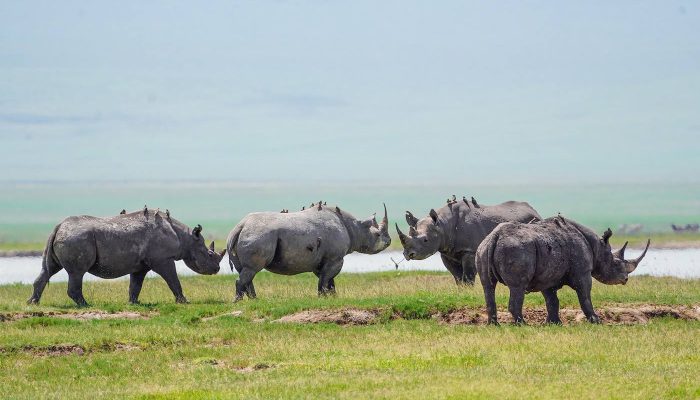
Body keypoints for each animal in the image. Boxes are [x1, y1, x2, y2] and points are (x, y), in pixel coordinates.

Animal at [27, 207, 225, 307]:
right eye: (209, 254)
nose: (216, 269)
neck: (186, 238)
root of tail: (59, 226)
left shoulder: (141, 265)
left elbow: (135, 285)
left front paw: (134, 303)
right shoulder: (163, 259)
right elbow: (173, 280)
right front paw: (184, 302)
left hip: (65, 237)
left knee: (49, 269)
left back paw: (32, 303)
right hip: (76, 238)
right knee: (77, 273)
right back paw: (86, 305)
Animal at [226, 202, 391, 300]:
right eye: (377, 235)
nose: (389, 241)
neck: (355, 227)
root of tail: (240, 226)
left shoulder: (321, 260)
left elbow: (328, 280)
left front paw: (332, 297)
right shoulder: (335, 258)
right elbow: (325, 279)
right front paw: (323, 297)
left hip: (241, 236)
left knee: (246, 272)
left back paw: (255, 300)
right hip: (259, 236)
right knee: (251, 269)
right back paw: (239, 301)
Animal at [395, 197, 541, 285]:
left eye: (425, 240)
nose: (408, 254)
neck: (443, 225)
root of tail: (534, 210)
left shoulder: (470, 250)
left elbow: (468, 276)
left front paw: (468, 290)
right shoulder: (447, 252)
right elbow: (457, 277)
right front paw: (461, 291)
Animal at [476, 216, 650, 324]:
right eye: (616, 264)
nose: (625, 279)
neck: (598, 248)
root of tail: (495, 237)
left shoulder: (547, 274)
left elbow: (552, 300)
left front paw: (554, 323)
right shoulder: (583, 273)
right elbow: (585, 296)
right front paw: (597, 321)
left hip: (483, 248)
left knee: (488, 286)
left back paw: (494, 325)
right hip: (516, 250)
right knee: (517, 287)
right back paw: (523, 325)